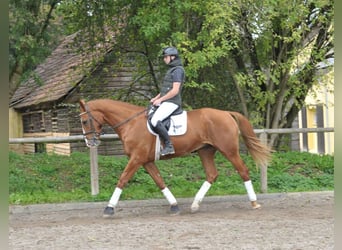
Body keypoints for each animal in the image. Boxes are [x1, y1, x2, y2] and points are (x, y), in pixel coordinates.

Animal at [79, 98, 272, 217]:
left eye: (84, 121)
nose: (90, 143)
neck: (130, 123)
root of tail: (225, 113)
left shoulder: (136, 158)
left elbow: (123, 179)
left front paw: (109, 208)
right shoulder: (146, 161)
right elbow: (159, 181)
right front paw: (174, 205)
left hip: (229, 150)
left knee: (243, 170)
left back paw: (254, 203)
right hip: (205, 151)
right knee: (211, 174)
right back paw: (195, 204)